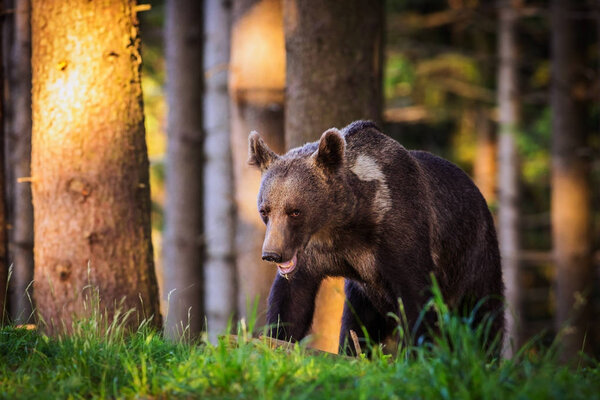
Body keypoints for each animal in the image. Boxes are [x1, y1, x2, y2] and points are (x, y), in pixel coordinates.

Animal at [246, 119, 504, 354]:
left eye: (295, 211)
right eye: (265, 210)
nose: (272, 254)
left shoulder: (400, 236)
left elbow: (417, 299)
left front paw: (416, 354)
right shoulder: (315, 254)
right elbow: (291, 300)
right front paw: (275, 339)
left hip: (473, 255)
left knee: (483, 313)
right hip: (366, 294)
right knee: (358, 322)